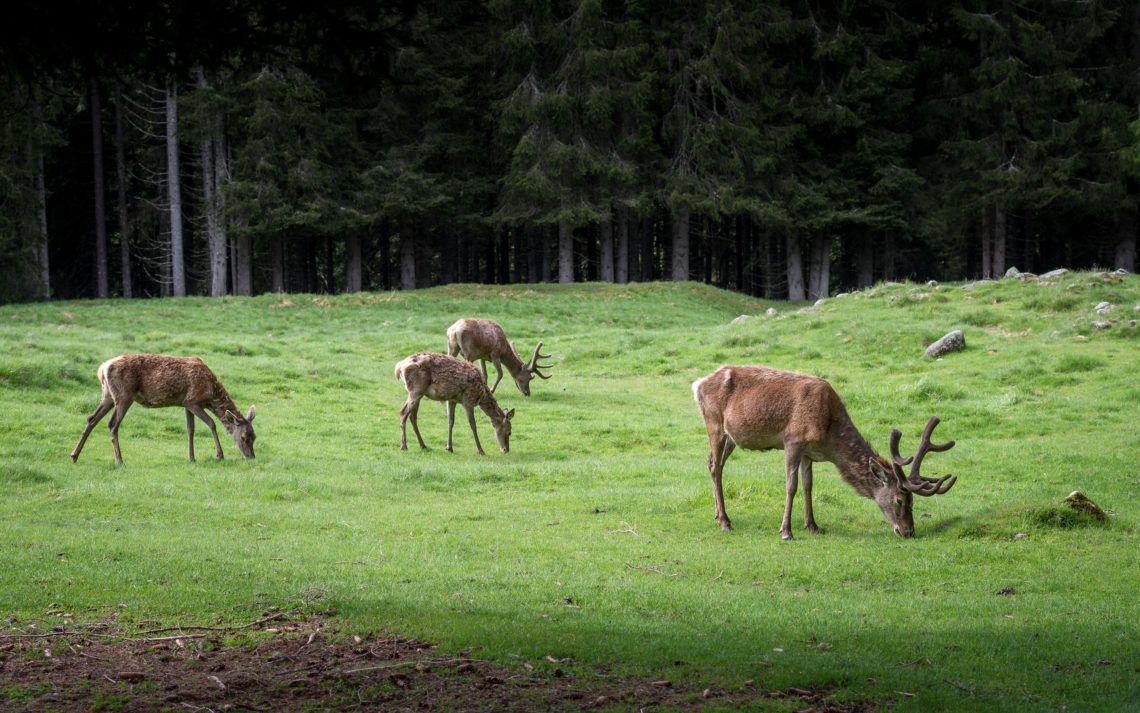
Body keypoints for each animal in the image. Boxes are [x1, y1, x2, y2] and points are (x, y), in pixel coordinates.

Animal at [71, 353, 258, 465]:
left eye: (254, 436)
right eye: (243, 437)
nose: (251, 456)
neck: (210, 393)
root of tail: (102, 368)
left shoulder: (185, 403)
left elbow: (190, 429)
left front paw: (192, 458)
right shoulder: (193, 400)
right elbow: (212, 423)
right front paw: (219, 455)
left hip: (108, 395)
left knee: (91, 419)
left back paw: (74, 456)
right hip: (124, 396)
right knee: (112, 425)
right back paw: (119, 461)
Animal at [688, 365, 957, 536]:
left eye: (912, 501)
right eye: (900, 499)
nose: (908, 531)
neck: (828, 435)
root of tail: (698, 384)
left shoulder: (809, 452)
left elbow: (808, 485)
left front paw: (812, 525)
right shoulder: (793, 440)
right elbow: (792, 485)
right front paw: (786, 530)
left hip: (731, 436)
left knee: (712, 463)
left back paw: (718, 515)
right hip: (714, 424)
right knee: (715, 466)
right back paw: (725, 521)